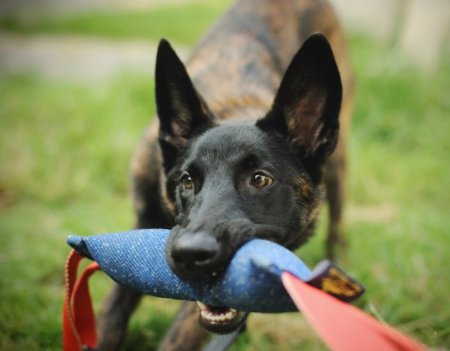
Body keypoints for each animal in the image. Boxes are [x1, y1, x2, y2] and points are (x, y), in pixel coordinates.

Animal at [96, 0, 354, 351]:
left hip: (338, 168)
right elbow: (112, 312)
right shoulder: (139, 231)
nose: (190, 255)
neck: (237, 108)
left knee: (337, 224)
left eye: (260, 179)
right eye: (187, 181)